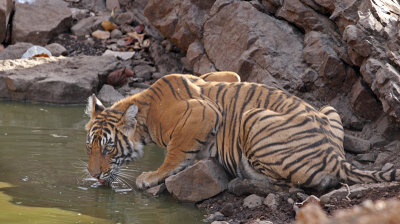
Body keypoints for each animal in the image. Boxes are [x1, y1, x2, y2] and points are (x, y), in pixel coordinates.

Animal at [84, 71, 400, 191]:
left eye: (109, 148)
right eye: (90, 147)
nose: (94, 175)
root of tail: (336, 157)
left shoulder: (202, 113)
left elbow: (175, 153)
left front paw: (150, 177)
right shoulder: (220, 76)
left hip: (253, 117)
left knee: (302, 181)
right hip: (328, 109)